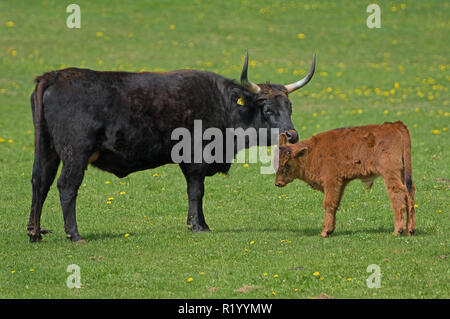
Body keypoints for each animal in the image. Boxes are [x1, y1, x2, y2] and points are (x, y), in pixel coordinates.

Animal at [29, 52, 316, 242]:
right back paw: (74, 234)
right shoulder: (197, 158)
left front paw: (201, 224)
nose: (292, 134)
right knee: (66, 186)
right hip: (74, 153)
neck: (222, 104)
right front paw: (197, 226)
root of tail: (54, 77)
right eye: (268, 109)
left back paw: (35, 233)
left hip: (46, 150)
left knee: (40, 183)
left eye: (289, 107)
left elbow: (196, 192)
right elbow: (196, 191)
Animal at [276, 122, 416, 238]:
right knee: (409, 192)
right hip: (403, 172)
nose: (277, 183)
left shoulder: (331, 182)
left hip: (390, 173)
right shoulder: (341, 184)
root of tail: (396, 125)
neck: (312, 152)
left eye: (287, 164)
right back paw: (410, 230)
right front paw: (330, 230)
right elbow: (335, 204)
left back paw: (397, 231)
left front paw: (325, 232)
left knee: (397, 193)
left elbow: (328, 204)